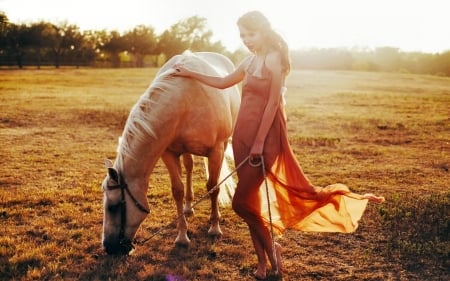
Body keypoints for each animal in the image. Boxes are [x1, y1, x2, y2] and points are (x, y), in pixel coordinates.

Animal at [100, 50, 241, 254]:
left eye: (113, 207)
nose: (108, 247)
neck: (184, 100)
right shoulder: (169, 153)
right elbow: (178, 190)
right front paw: (182, 237)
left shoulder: (216, 150)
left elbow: (213, 187)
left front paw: (215, 228)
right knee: (189, 168)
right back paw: (188, 207)